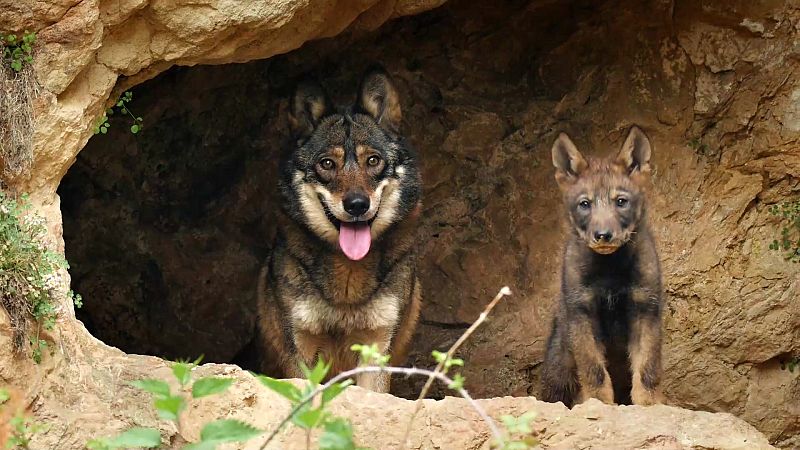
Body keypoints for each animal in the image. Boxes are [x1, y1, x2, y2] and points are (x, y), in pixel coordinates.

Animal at [255, 66, 422, 392]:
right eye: (327, 164)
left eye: (373, 160)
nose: (356, 204)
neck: (348, 281)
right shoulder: (301, 350)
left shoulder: (376, 348)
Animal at [540, 126, 664, 407]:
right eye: (585, 204)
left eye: (621, 201)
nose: (603, 235)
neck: (610, 271)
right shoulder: (581, 311)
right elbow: (594, 371)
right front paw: (599, 404)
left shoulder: (646, 308)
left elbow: (647, 370)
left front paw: (649, 405)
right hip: (559, 368)